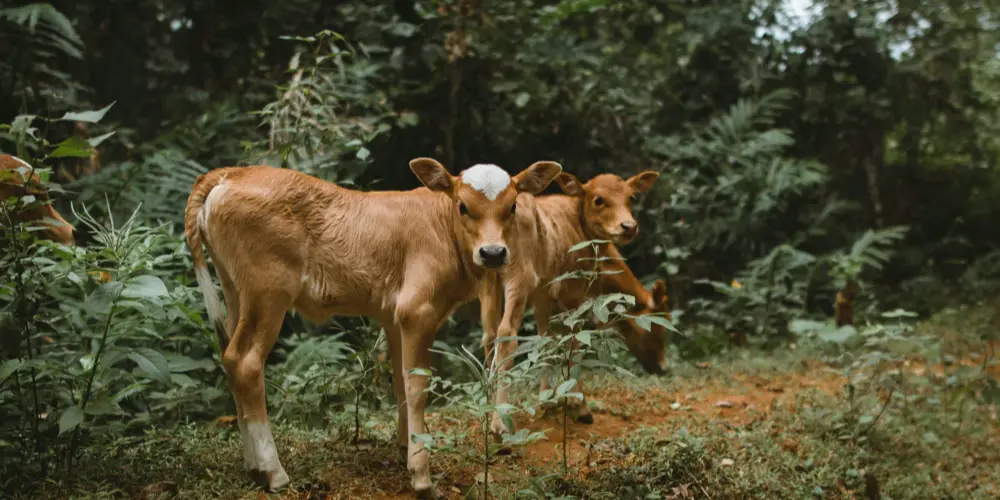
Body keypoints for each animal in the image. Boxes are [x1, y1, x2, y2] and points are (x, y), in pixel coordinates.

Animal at [184, 158, 561, 496]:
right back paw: (273, 472)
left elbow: (400, 380)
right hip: (268, 294)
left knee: (230, 359)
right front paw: (421, 474)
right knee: (246, 363)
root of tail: (232, 172)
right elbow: (417, 385)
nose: (493, 253)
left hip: (236, 293)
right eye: (463, 206)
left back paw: (253, 467)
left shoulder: (394, 318)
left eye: (512, 206)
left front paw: (405, 447)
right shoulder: (417, 311)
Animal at [479, 170, 668, 434]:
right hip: (518, 278)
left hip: (488, 283)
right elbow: (573, 342)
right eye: (656, 327)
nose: (629, 227)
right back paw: (500, 423)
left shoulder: (543, 294)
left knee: (489, 335)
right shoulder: (573, 292)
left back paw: (487, 411)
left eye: (631, 197)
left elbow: (546, 340)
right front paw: (579, 405)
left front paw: (546, 400)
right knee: (506, 335)